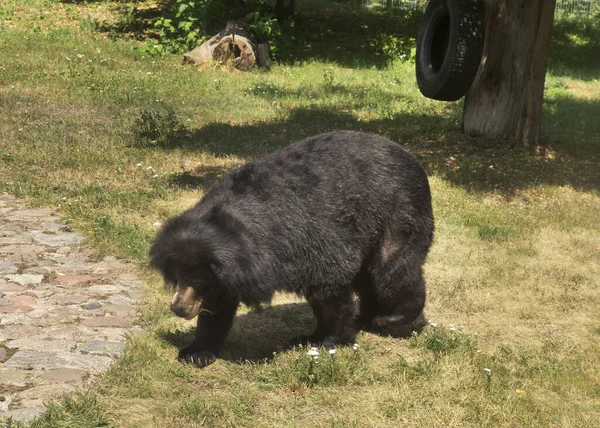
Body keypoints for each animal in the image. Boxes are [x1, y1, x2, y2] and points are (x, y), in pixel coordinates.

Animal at [149, 131, 432, 368]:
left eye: (198, 282)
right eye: (177, 277)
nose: (178, 308)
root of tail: (409, 155)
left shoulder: (312, 236)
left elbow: (330, 289)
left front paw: (330, 338)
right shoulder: (229, 269)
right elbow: (219, 308)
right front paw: (196, 351)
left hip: (397, 212)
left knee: (392, 269)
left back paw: (392, 316)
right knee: (369, 278)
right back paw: (367, 316)